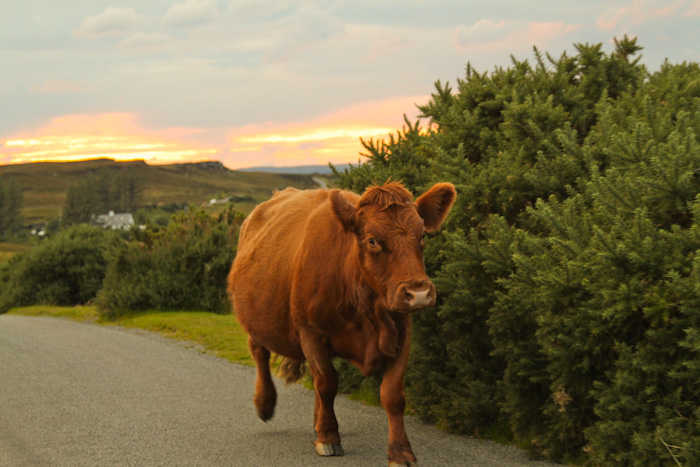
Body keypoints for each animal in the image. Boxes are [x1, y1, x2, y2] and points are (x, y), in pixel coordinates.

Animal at [228, 181, 456, 466]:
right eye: (372, 240)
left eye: (423, 235)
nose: (419, 293)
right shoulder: (310, 331)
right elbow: (327, 383)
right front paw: (328, 437)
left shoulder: (402, 331)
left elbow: (392, 394)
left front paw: (401, 451)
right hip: (254, 318)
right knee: (260, 353)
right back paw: (265, 404)